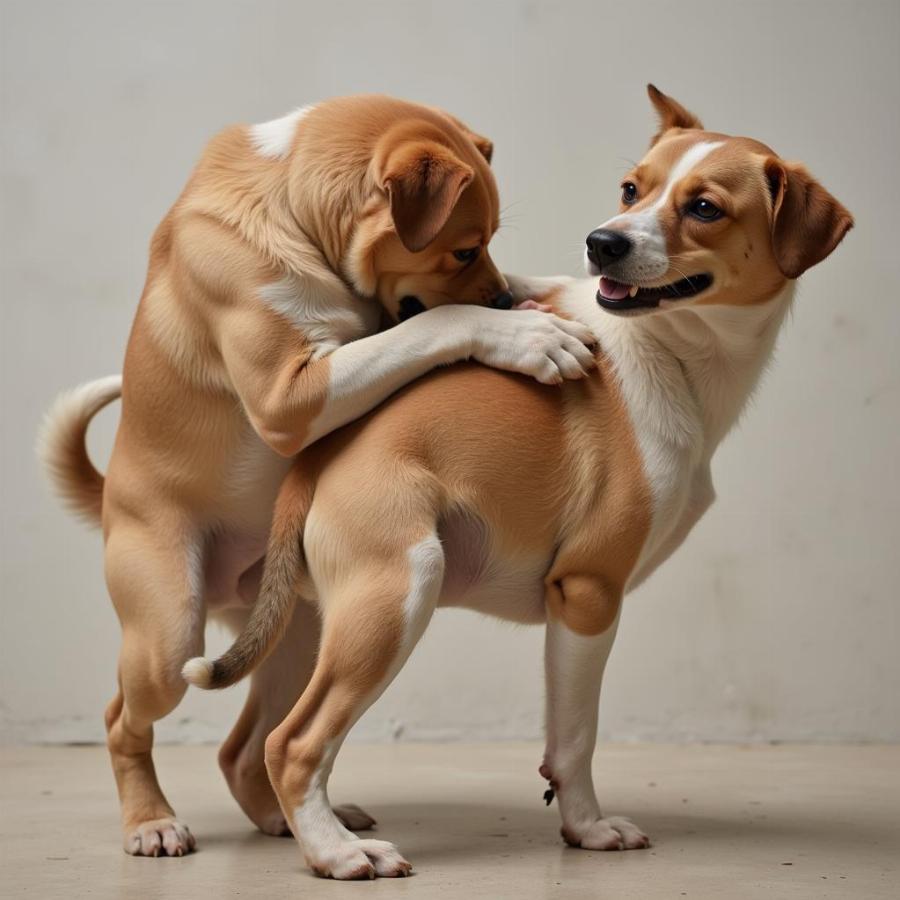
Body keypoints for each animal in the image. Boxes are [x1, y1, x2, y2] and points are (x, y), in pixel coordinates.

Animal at [38, 93, 596, 856]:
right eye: (463, 248)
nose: (508, 301)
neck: (290, 212)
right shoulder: (290, 399)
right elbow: (433, 325)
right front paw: (528, 337)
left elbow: (403, 333)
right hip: (169, 635)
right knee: (123, 719)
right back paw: (152, 821)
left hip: (302, 636)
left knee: (246, 745)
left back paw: (288, 821)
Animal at [183, 86, 852, 880]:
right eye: (632, 189)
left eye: (704, 207)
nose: (603, 242)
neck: (670, 355)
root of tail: (313, 460)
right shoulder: (588, 596)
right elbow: (575, 741)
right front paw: (589, 829)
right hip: (397, 596)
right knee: (292, 745)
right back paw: (338, 854)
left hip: (324, 624)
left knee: (251, 747)